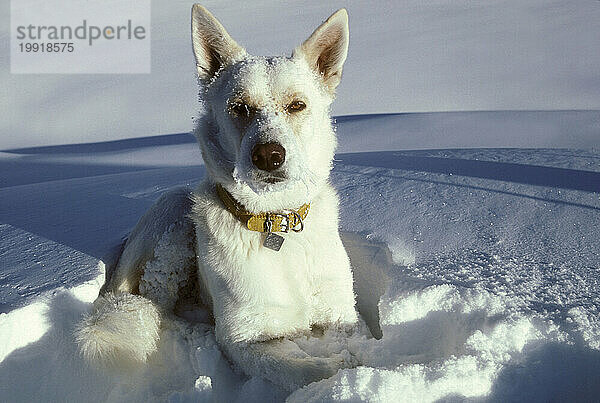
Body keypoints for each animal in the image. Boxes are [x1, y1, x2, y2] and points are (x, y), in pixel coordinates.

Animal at [74, 3, 358, 392]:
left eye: (297, 105)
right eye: (239, 107)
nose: (268, 156)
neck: (274, 223)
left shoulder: (341, 313)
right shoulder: (243, 337)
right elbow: (296, 369)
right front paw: (336, 370)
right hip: (174, 214)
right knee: (154, 304)